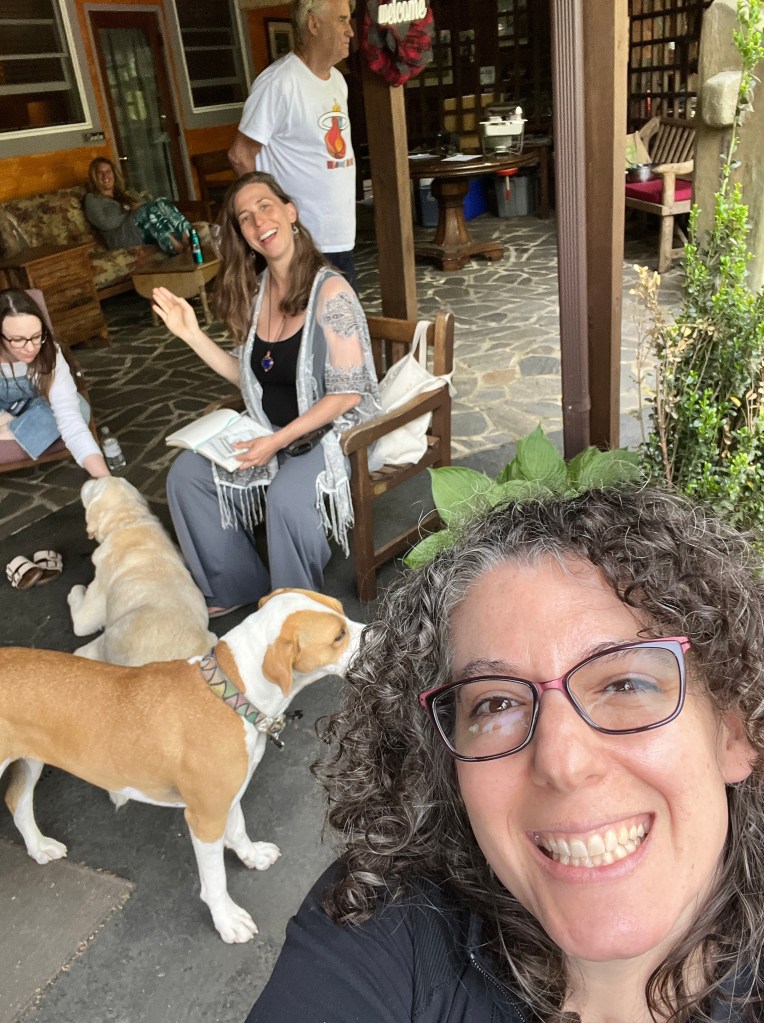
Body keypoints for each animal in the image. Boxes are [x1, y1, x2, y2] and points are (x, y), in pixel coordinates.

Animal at [0, 588, 362, 942]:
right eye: (338, 636)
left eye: (342, 610)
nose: (374, 632)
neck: (232, 691)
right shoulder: (204, 817)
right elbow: (215, 879)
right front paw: (226, 919)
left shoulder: (226, 796)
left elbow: (238, 827)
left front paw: (252, 856)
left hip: (30, 758)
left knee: (17, 800)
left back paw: (39, 847)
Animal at [68, 476, 216, 665]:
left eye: (95, 485)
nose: (91, 477)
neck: (128, 520)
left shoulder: (93, 601)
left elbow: (80, 614)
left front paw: (77, 591)